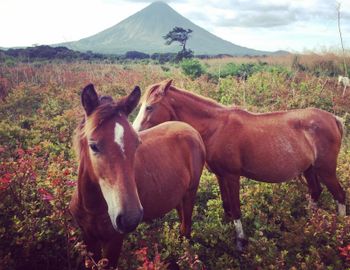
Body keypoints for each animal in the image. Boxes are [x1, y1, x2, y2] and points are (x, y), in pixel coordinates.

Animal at [70, 83, 206, 266]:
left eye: (136, 143)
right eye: (93, 146)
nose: (129, 218)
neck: (92, 207)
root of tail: (190, 129)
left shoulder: (114, 240)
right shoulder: (88, 237)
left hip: (190, 193)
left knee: (186, 227)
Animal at [133, 79, 346, 251]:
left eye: (149, 107)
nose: (135, 135)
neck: (216, 127)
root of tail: (333, 119)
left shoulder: (232, 176)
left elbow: (236, 208)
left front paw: (241, 241)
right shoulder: (220, 175)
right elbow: (227, 205)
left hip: (326, 169)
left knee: (339, 195)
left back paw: (340, 231)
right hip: (309, 169)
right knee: (315, 191)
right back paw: (312, 224)